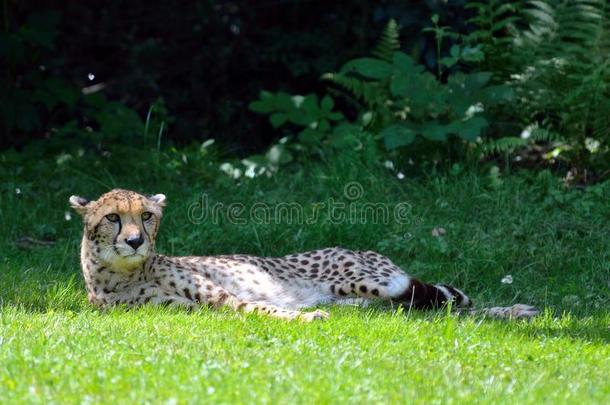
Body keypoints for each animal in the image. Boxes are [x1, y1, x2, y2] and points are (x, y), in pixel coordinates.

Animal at [70, 188, 536, 320]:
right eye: (113, 218)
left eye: (146, 216)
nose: (136, 241)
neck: (127, 272)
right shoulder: (181, 308)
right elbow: (253, 309)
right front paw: (305, 317)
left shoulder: (217, 296)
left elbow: (256, 308)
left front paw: (302, 318)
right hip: (372, 300)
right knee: (431, 309)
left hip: (370, 280)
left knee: (448, 304)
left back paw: (518, 311)